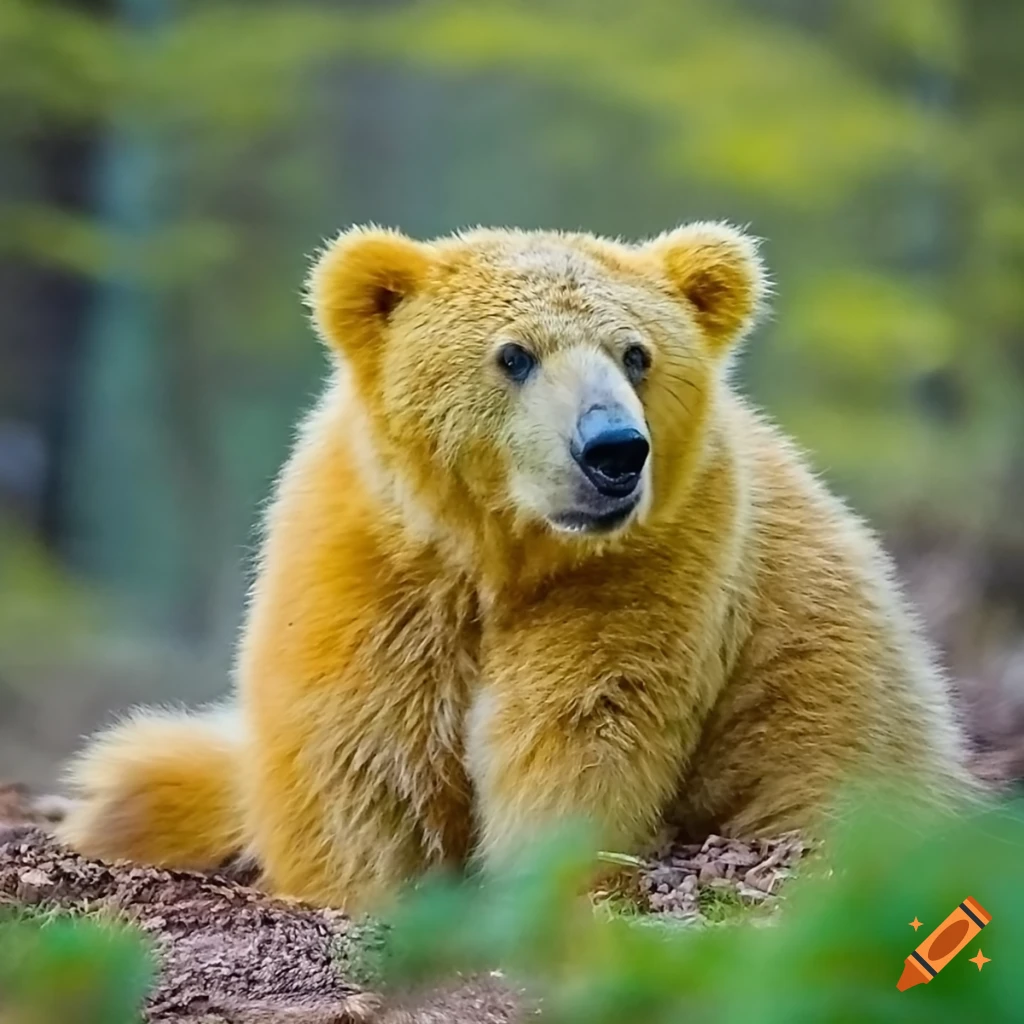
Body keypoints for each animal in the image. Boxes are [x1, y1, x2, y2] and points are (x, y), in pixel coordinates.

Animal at [58, 222, 979, 911]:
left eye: (636, 353)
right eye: (514, 354)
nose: (614, 451)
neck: (504, 553)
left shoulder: (653, 564)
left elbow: (579, 724)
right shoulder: (376, 562)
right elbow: (364, 744)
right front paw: (364, 885)